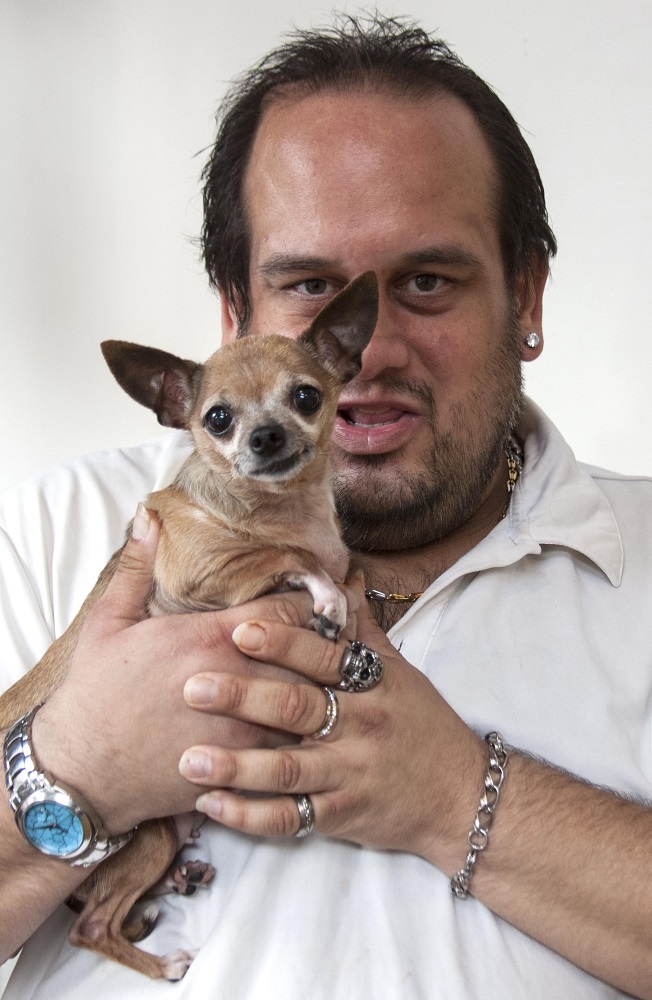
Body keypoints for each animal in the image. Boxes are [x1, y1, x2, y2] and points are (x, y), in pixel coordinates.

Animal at [1, 270, 376, 980]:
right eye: (218, 419)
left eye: (307, 397)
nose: (266, 437)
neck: (284, 510)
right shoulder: (198, 575)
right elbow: (287, 559)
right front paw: (323, 591)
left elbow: (336, 563)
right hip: (140, 838)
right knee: (92, 925)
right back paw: (163, 964)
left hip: (160, 833)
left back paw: (178, 882)